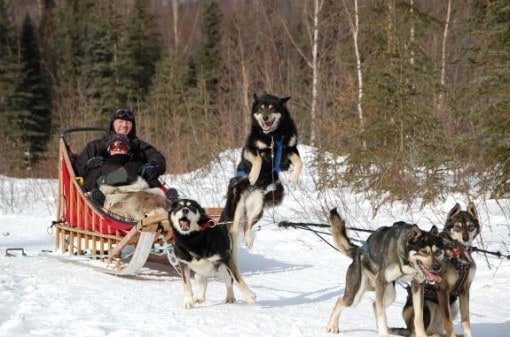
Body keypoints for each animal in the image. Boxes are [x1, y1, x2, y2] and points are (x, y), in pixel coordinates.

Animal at [326, 207, 446, 336]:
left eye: (438, 252)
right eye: (424, 252)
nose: (437, 267)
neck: (406, 261)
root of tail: (358, 250)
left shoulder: (417, 285)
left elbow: (418, 316)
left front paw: (421, 334)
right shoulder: (381, 281)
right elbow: (381, 313)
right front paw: (383, 334)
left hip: (389, 294)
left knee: (375, 304)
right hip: (357, 294)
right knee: (341, 301)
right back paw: (332, 325)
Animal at [400, 202, 480, 336]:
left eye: (470, 226)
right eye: (457, 227)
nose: (465, 238)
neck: (458, 253)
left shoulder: (465, 290)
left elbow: (466, 321)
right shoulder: (443, 290)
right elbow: (448, 322)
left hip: (453, 307)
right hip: (426, 306)